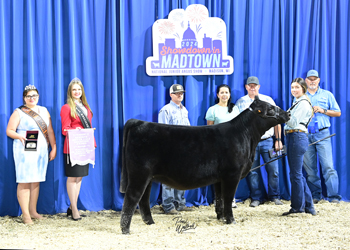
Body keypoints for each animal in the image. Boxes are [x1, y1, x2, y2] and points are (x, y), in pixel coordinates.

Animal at [120, 96, 290, 233]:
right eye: (271, 108)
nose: (288, 113)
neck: (246, 135)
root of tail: (139, 123)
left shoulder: (220, 178)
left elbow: (220, 199)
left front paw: (221, 218)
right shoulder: (232, 175)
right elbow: (228, 197)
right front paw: (231, 220)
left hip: (148, 176)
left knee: (144, 199)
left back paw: (149, 222)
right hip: (139, 173)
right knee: (132, 197)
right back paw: (125, 229)